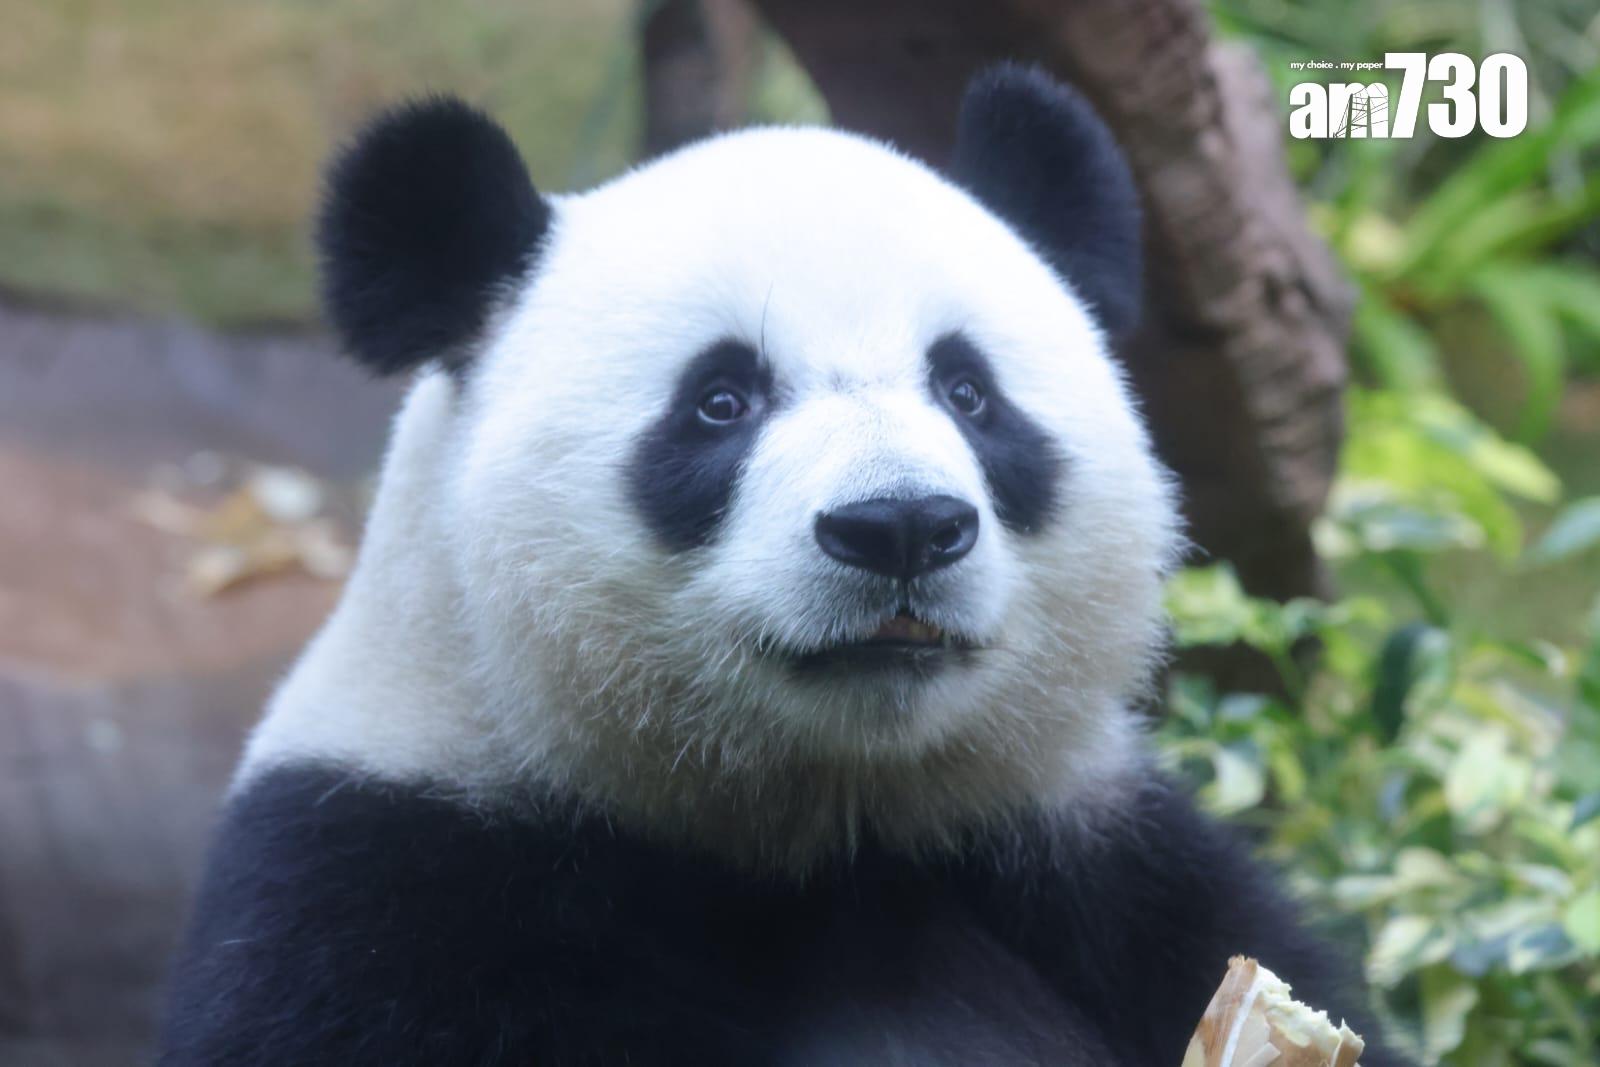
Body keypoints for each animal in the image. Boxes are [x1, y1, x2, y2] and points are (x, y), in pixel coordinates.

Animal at [160, 65, 1401, 1066]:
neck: (821, 824)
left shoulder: (1099, 863)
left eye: (967, 390)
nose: (900, 525)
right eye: (721, 400)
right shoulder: (386, 885)